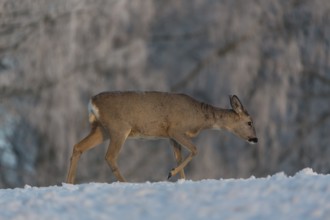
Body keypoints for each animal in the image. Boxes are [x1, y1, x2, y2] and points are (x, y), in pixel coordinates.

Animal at [66, 91, 258, 184]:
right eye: (249, 122)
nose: (255, 139)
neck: (199, 118)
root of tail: (92, 102)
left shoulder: (170, 137)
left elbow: (179, 157)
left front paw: (179, 178)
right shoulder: (175, 129)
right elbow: (196, 149)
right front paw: (170, 173)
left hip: (102, 129)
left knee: (77, 147)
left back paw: (69, 183)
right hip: (119, 128)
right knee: (110, 156)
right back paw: (126, 183)